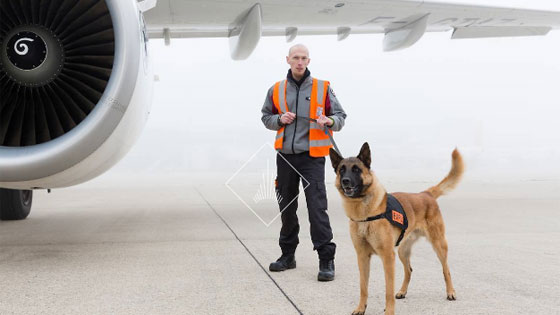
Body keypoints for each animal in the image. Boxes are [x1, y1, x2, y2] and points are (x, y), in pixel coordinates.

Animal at [328, 144, 464, 315]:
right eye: (341, 170)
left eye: (356, 169)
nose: (345, 181)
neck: (366, 213)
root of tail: (425, 194)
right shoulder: (362, 257)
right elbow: (363, 287)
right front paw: (361, 308)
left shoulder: (388, 257)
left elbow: (388, 290)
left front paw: (389, 311)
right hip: (402, 251)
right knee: (409, 270)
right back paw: (402, 291)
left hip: (439, 245)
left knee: (446, 269)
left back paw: (451, 292)